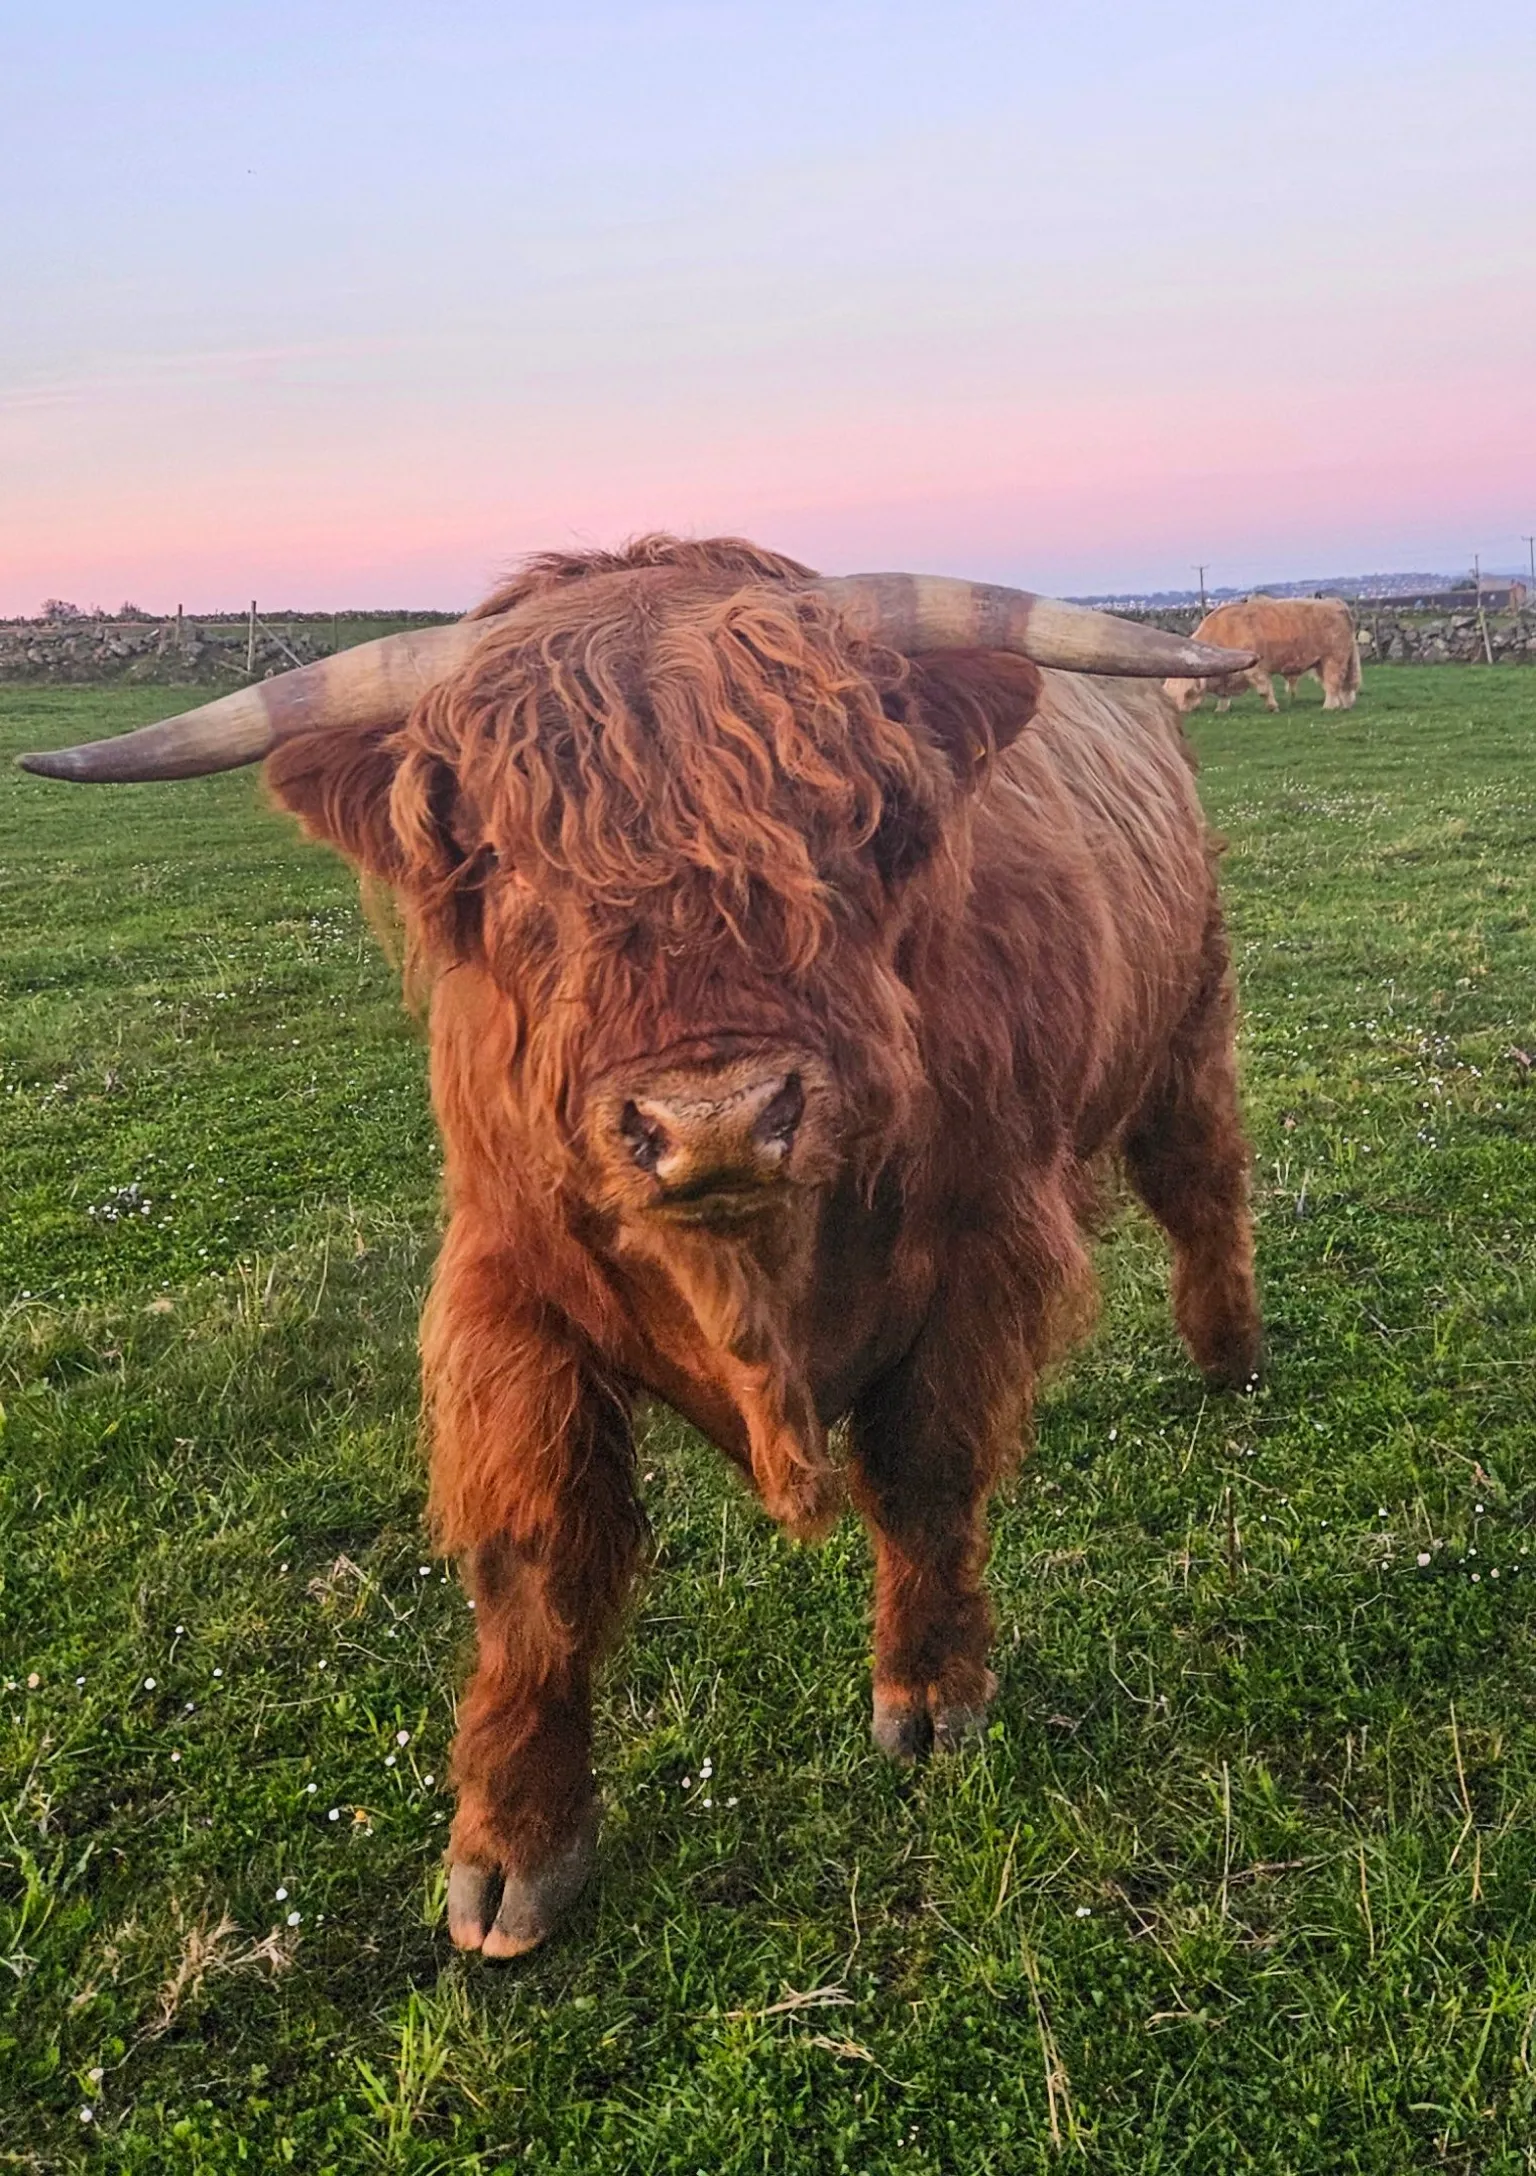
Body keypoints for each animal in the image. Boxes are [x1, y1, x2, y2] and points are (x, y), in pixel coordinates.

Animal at [22, 536, 1264, 1959]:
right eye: (501, 858)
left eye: (855, 823)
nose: (713, 1117)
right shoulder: (508, 1291)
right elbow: (537, 1568)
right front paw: (513, 1847)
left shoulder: (979, 1244)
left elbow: (925, 1476)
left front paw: (931, 1693)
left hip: (1186, 1024)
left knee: (1202, 1181)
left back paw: (1230, 1354)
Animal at [1164, 595, 1361, 714]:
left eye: (1185, 691)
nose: (1176, 712)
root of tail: (1335, 602)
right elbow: (1224, 694)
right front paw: (1221, 709)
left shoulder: (1256, 669)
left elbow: (1264, 690)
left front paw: (1272, 707)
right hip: (1322, 662)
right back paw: (1344, 704)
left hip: (1334, 659)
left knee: (1333, 683)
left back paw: (1329, 706)